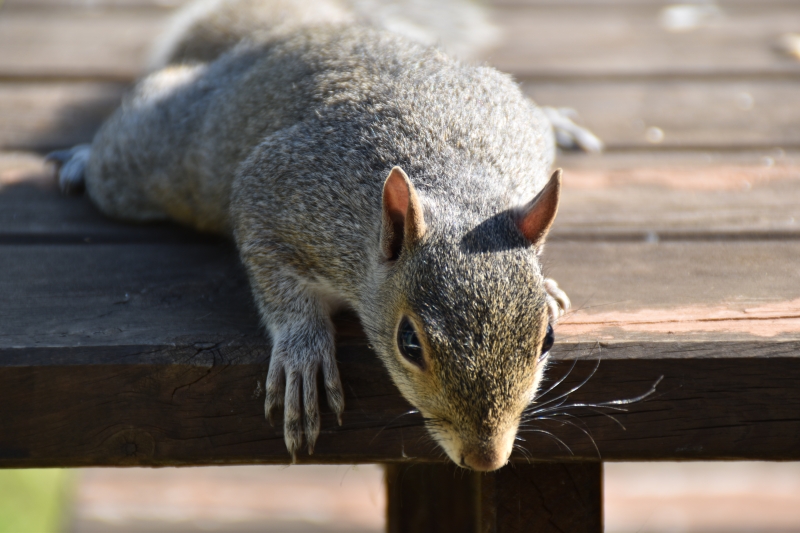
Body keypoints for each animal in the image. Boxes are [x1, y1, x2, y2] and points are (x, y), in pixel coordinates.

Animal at [51, 1, 588, 474]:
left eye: (547, 339)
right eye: (409, 343)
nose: (486, 459)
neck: (452, 184)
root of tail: (297, 30)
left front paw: (550, 287)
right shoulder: (283, 197)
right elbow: (274, 275)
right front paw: (302, 354)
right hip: (161, 158)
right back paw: (80, 157)